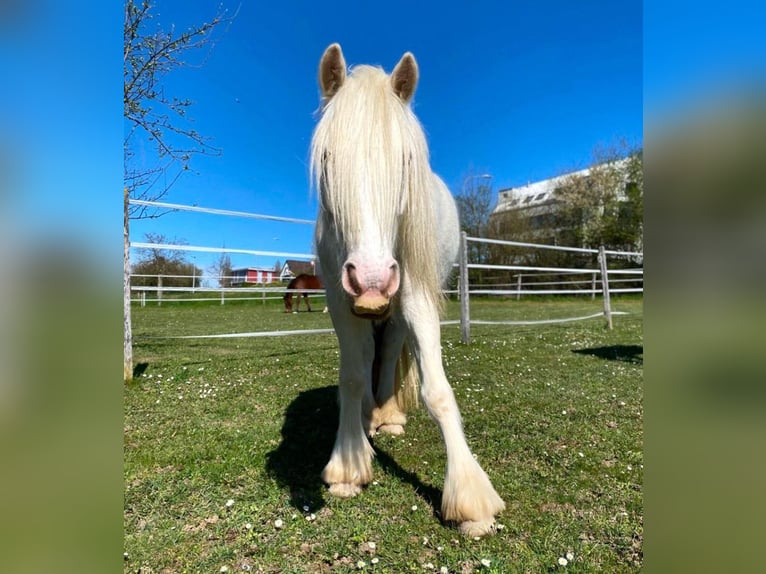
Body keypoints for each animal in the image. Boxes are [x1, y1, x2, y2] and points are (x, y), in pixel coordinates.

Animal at [310, 44, 505, 537]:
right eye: (327, 160)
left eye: (405, 161)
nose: (372, 279)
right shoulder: (341, 300)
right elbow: (352, 375)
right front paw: (348, 465)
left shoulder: (416, 296)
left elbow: (437, 389)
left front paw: (471, 498)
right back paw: (368, 416)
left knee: (395, 343)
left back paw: (388, 415)